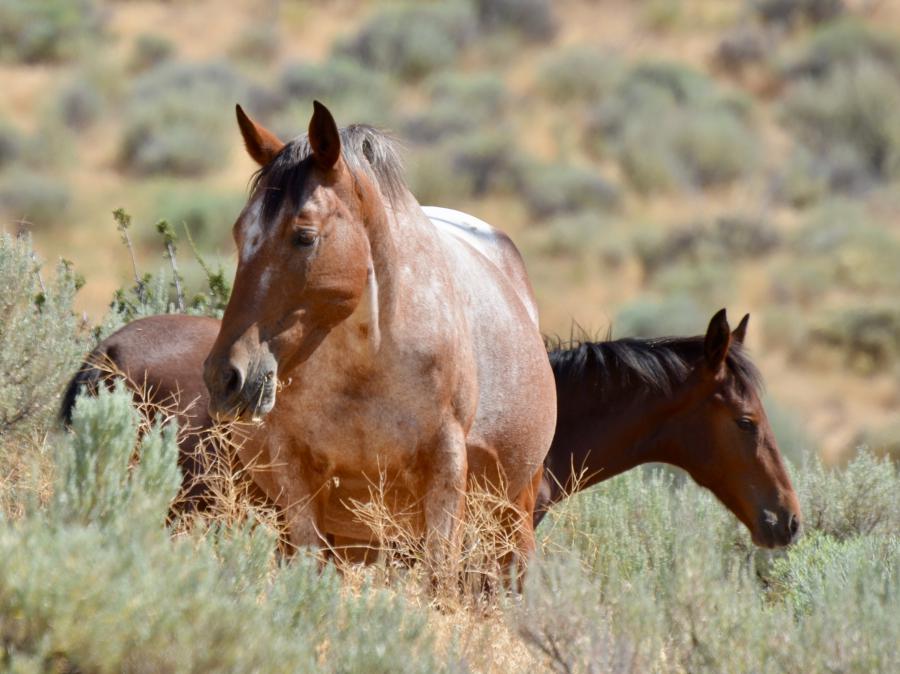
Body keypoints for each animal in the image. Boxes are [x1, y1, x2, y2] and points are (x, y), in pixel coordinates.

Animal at [197, 101, 557, 571]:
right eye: (241, 233)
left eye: (304, 236)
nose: (226, 376)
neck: (367, 366)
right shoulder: (297, 476)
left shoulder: (445, 472)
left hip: (514, 510)